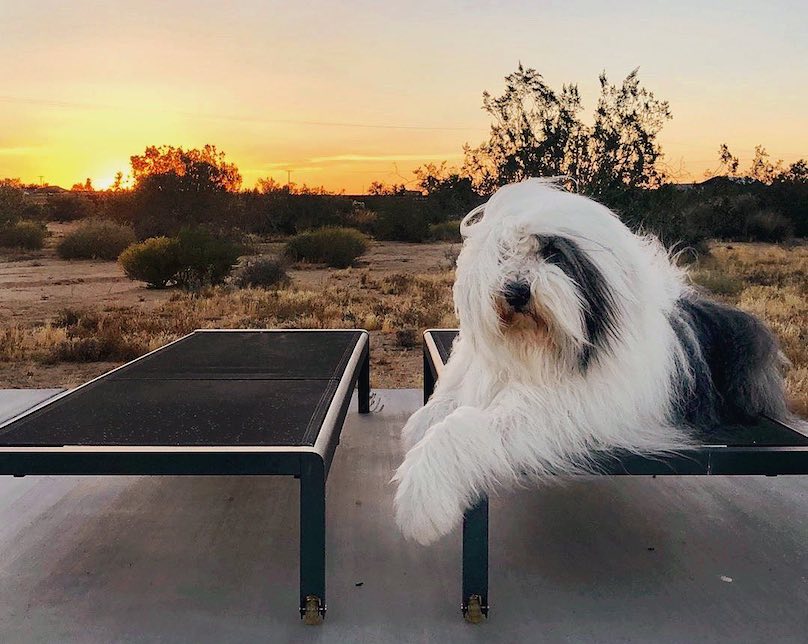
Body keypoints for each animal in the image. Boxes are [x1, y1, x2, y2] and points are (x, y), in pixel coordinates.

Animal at [394, 179, 792, 544]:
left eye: (553, 253)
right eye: (503, 255)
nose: (516, 291)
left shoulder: (562, 409)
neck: (533, 347)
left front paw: (420, 496)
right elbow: (442, 404)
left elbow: (463, 425)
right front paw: (418, 428)